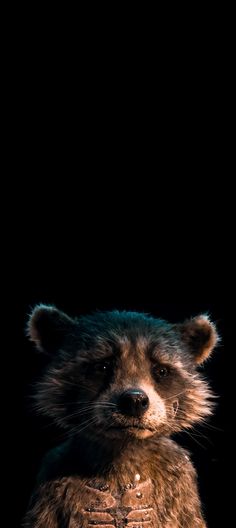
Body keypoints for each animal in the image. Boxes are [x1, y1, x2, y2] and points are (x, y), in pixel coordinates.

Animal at [23, 306, 218, 528]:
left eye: (161, 370)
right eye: (103, 366)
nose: (135, 401)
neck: (124, 450)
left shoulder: (182, 486)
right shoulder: (50, 485)